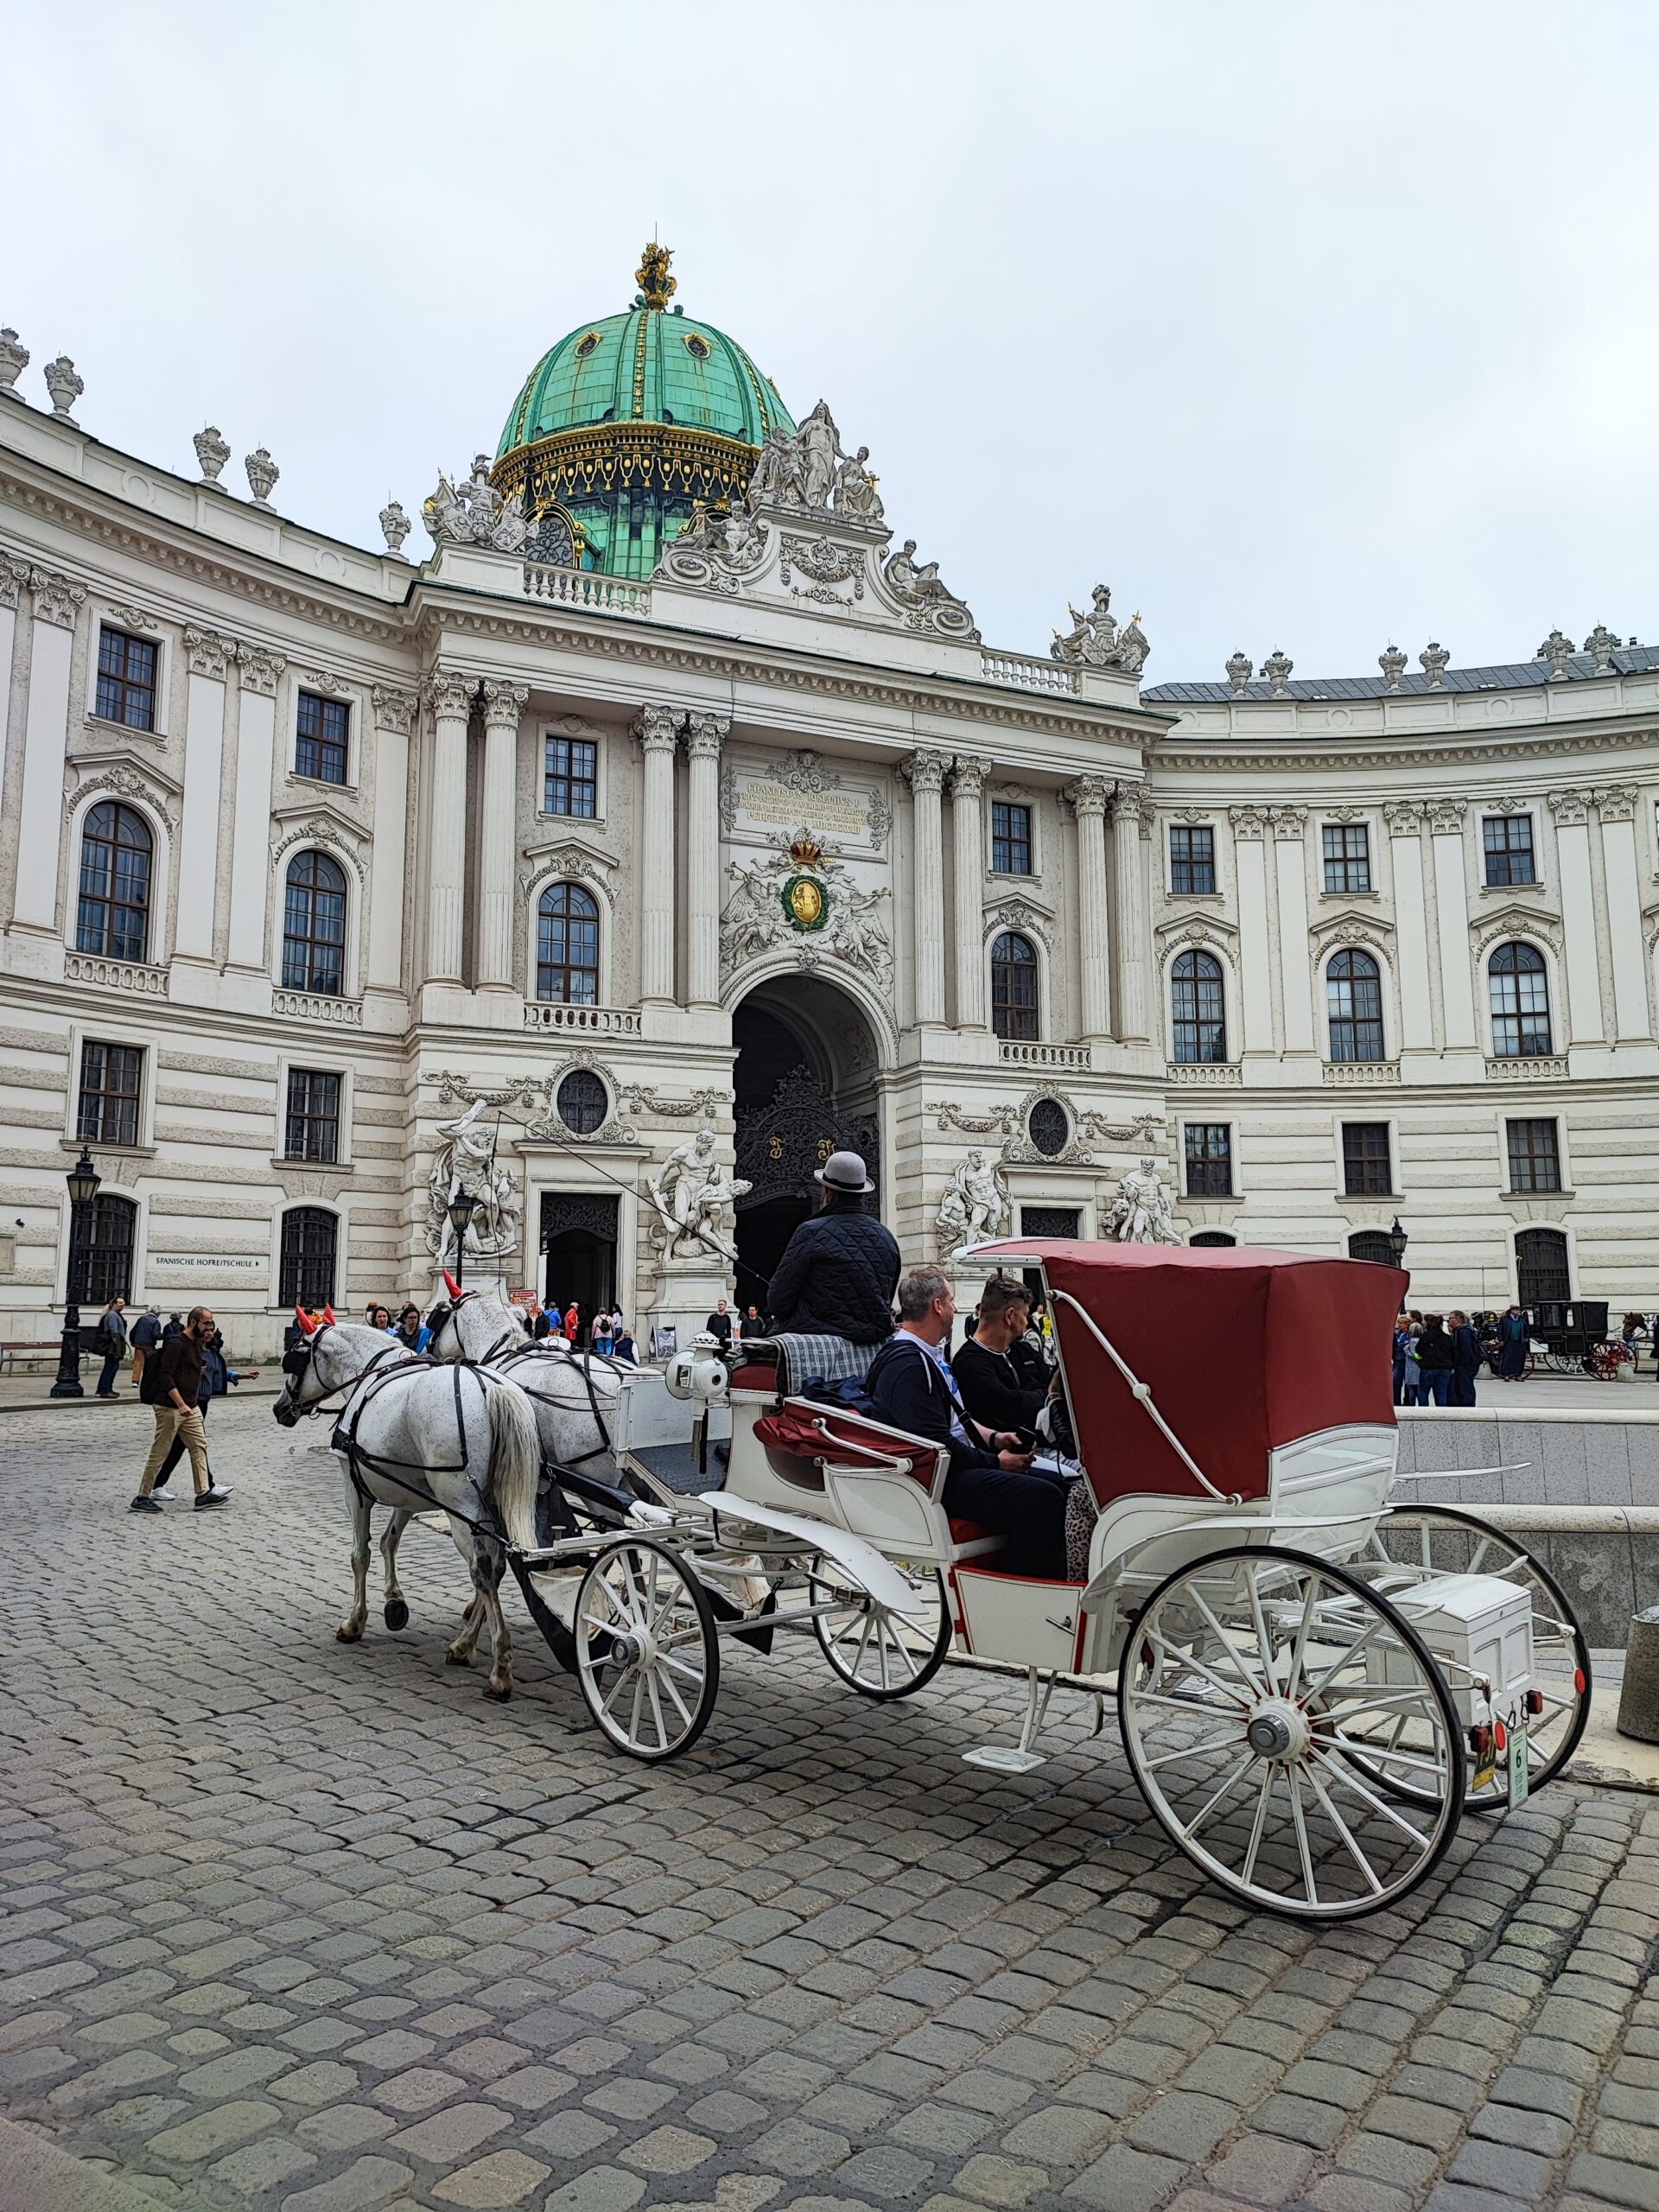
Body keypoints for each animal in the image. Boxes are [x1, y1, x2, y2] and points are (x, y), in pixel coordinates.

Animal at [274, 1300, 539, 1699]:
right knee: (497, 1564)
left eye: (294, 1358)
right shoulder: (407, 1492)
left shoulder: (354, 1488)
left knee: (481, 1569)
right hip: (491, 1505)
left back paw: (498, 1667)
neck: (368, 1374)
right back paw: (466, 1644)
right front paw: (394, 1601)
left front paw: (355, 1621)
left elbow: (361, 1554)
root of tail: (491, 1388)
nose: (279, 1408)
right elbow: (390, 1541)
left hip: (461, 1507)